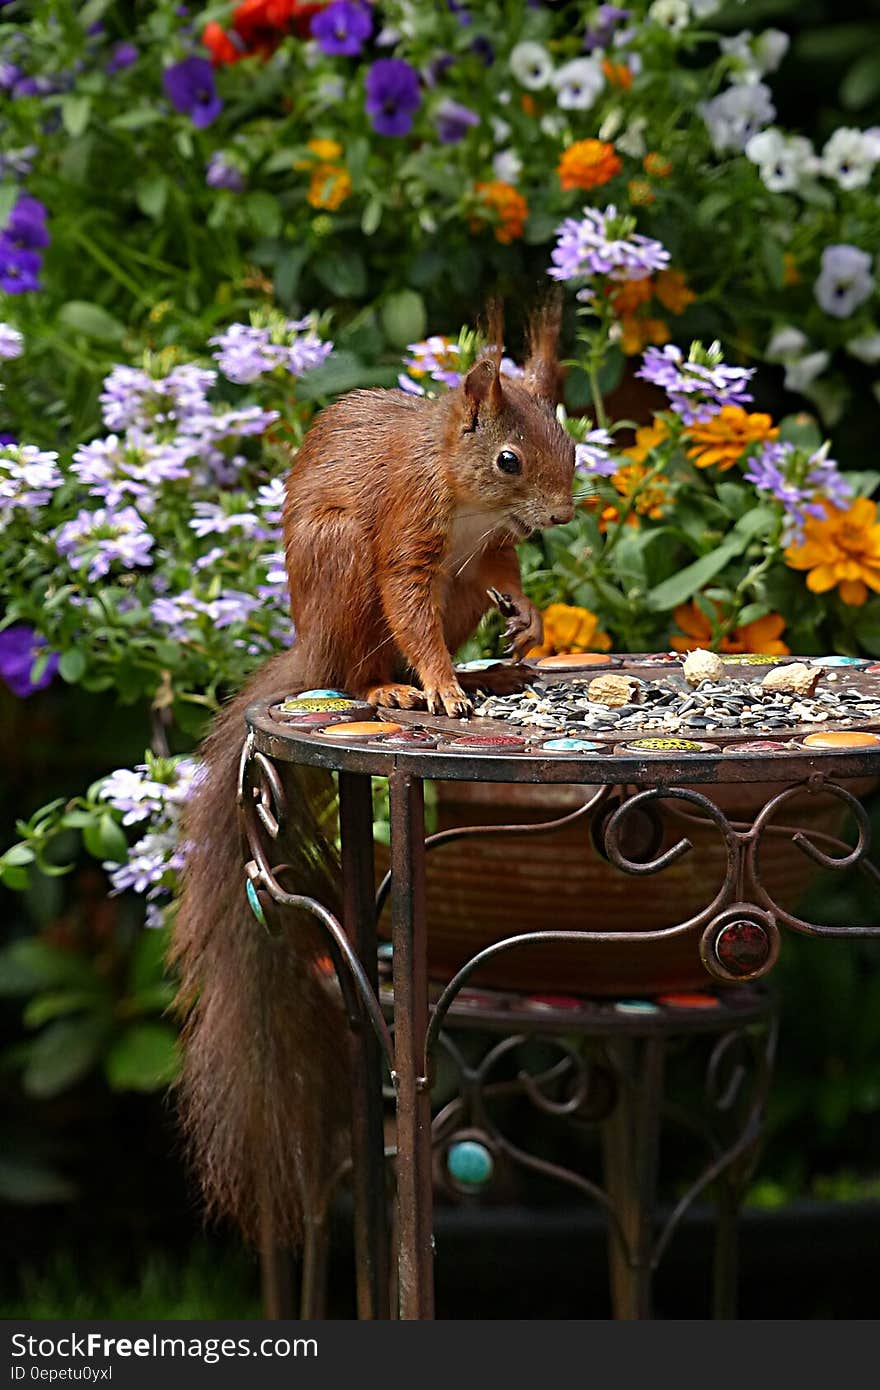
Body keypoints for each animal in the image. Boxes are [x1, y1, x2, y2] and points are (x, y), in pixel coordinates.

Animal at [171, 301, 575, 1251]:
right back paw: (395, 685)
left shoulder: (483, 553)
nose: (560, 517)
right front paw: (436, 684)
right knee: (360, 662)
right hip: (341, 565)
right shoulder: (404, 533)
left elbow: (501, 571)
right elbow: (409, 605)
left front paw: (526, 619)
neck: (466, 495)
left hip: (446, 592)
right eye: (510, 459)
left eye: (568, 439)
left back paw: (493, 672)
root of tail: (311, 646)